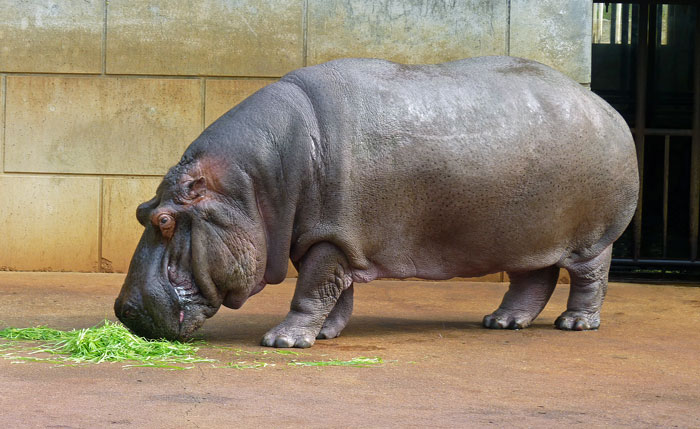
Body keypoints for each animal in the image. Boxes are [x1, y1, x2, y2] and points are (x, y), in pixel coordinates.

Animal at [113, 55, 640, 346]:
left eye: (164, 220)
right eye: (140, 210)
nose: (123, 310)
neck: (250, 184)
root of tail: (605, 106)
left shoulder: (330, 238)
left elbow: (312, 290)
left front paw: (283, 340)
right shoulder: (333, 239)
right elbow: (334, 291)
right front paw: (325, 334)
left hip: (589, 238)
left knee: (589, 277)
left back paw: (575, 324)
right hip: (527, 234)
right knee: (535, 277)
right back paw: (501, 322)